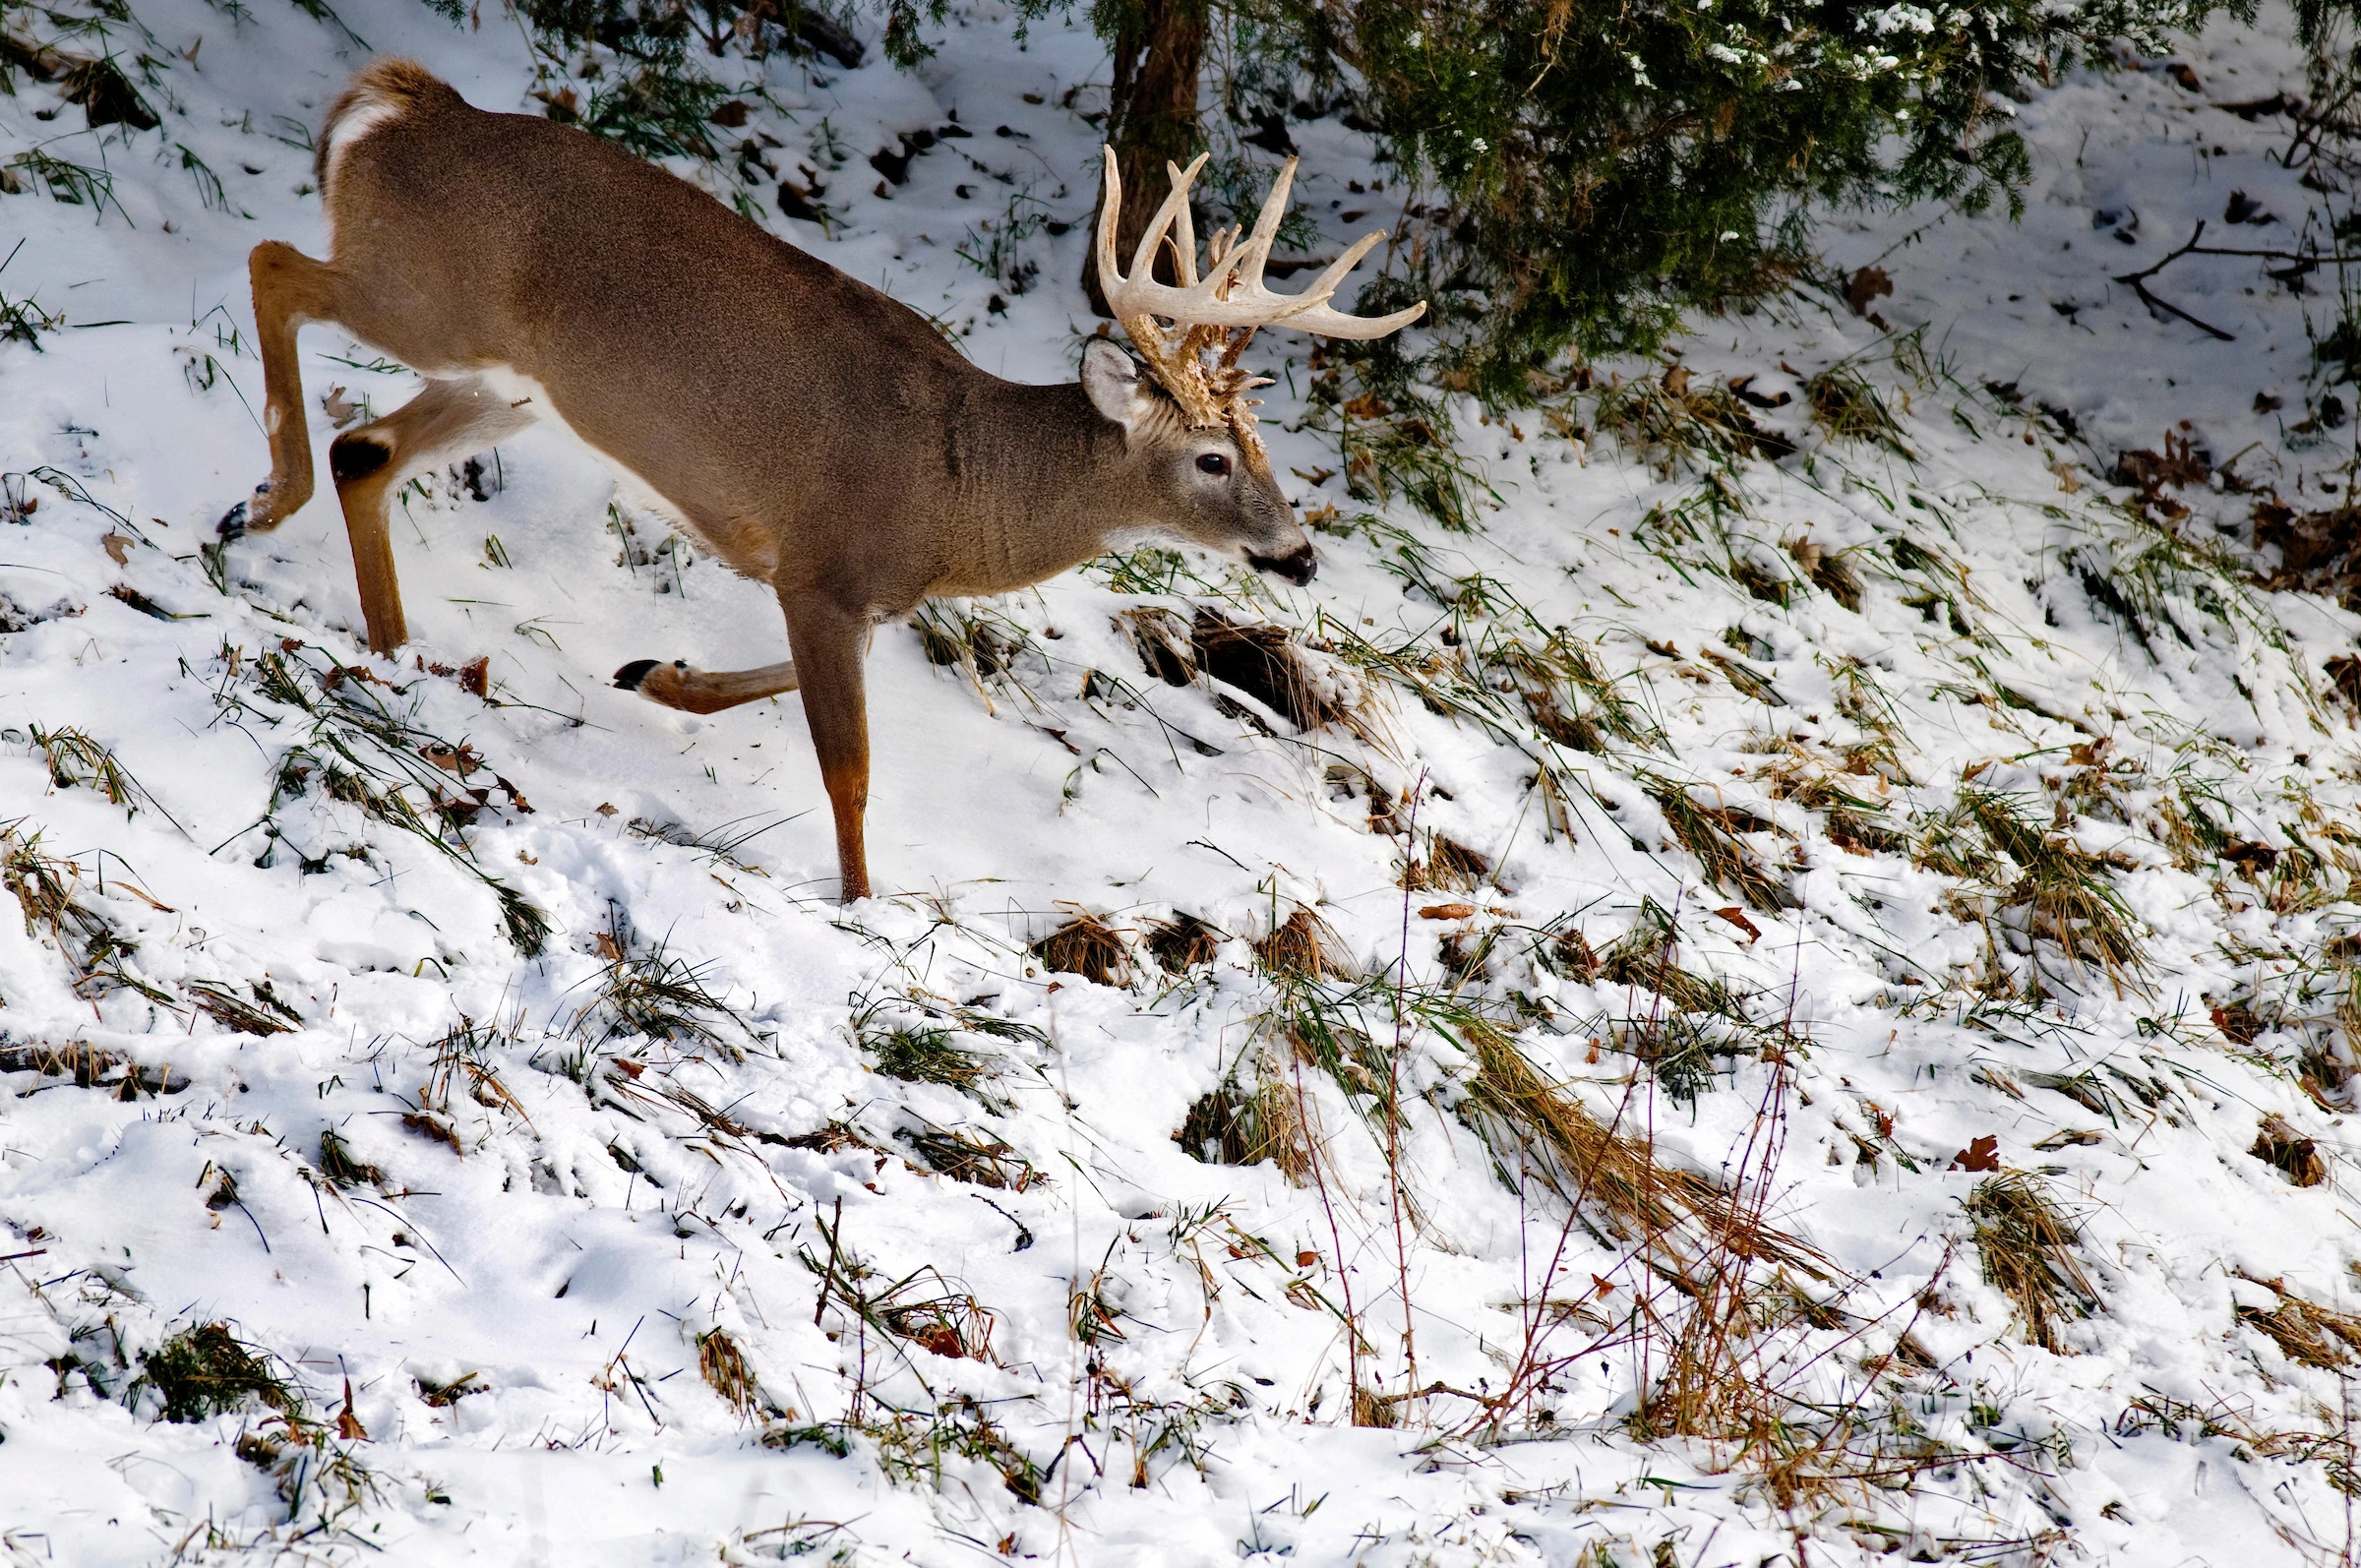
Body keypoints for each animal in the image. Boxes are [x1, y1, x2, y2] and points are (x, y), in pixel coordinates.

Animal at [225, 61, 1417, 902]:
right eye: (1210, 459)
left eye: (1263, 452)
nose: (1299, 556)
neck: (958, 491)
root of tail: (403, 104)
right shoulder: (825, 570)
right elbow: (850, 764)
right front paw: (859, 903)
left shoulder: (853, 597)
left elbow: (784, 689)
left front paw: (653, 674)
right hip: (429, 295)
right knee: (273, 264)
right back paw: (267, 497)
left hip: (506, 383)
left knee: (368, 450)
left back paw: (392, 648)